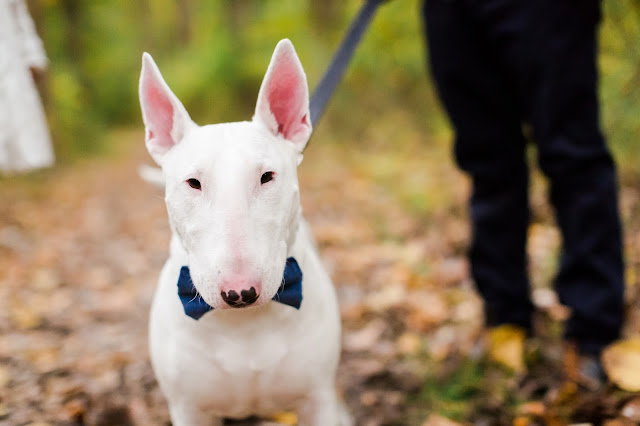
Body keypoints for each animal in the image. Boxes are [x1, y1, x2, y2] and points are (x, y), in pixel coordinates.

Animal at [140, 38, 350, 424]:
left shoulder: (317, 400)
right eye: (193, 183)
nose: (240, 291)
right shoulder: (188, 408)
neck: (245, 325)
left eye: (267, 176)